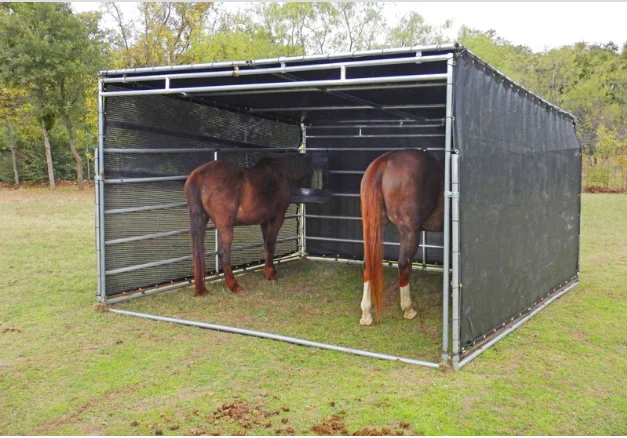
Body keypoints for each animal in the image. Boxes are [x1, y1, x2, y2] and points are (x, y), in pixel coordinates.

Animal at [185, 152, 312, 296]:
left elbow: (267, 245)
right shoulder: (277, 218)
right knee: (223, 252)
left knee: (197, 251)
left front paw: (271, 270)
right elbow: (271, 244)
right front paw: (270, 274)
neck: (281, 172)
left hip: (202, 219)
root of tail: (201, 174)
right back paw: (234, 286)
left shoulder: (264, 221)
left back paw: (201, 289)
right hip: (226, 226)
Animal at [360, 151, 444, 326]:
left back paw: (366, 313)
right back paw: (408, 309)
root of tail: (384, 160)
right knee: (404, 263)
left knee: (368, 262)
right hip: (409, 230)